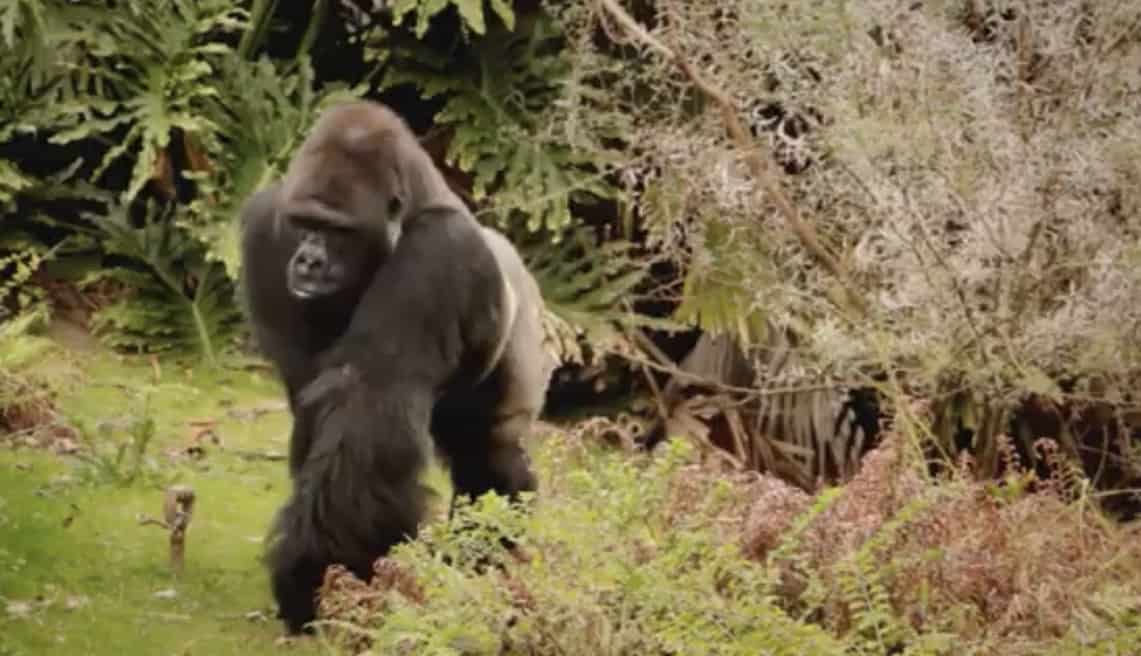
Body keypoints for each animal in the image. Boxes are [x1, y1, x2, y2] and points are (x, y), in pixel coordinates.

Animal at [237, 100, 553, 635]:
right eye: (303, 223)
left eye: (338, 230)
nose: (308, 262)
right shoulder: (266, 229)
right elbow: (316, 404)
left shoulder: (440, 248)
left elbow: (368, 403)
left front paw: (320, 578)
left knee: (492, 455)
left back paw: (485, 564)